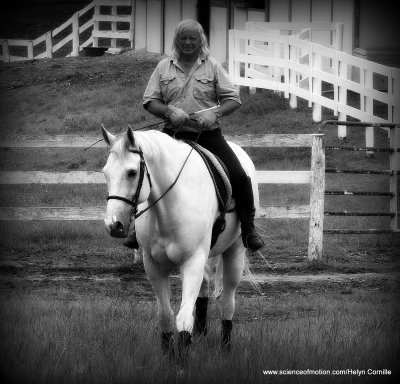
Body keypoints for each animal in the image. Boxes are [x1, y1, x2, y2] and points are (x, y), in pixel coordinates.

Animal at [101, 127, 260, 356]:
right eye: (105, 173)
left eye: (131, 172)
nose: (113, 224)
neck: (171, 204)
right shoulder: (154, 266)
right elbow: (166, 316)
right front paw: (169, 357)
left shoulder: (192, 262)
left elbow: (184, 320)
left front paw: (182, 359)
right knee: (204, 288)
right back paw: (201, 335)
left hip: (235, 251)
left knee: (228, 302)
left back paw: (225, 347)